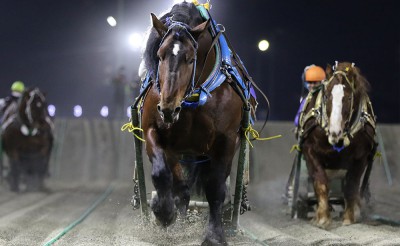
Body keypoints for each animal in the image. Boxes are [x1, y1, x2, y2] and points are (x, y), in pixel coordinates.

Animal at [136, 2, 258, 246]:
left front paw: (214, 235)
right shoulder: (154, 130)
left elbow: (216, 188)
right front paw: (164, 212)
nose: (168, 107)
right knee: (181, 187)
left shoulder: (226, 140)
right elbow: (162, 174)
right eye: (159, 56)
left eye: (191, 59)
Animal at [298, 62, 376, 229]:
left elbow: (351, 186)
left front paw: (349, 218)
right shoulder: (310, 150)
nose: (335, 131)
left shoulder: (361, 157)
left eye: (349, 97)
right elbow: (320, 183)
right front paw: (322, 218)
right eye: (327, 96)